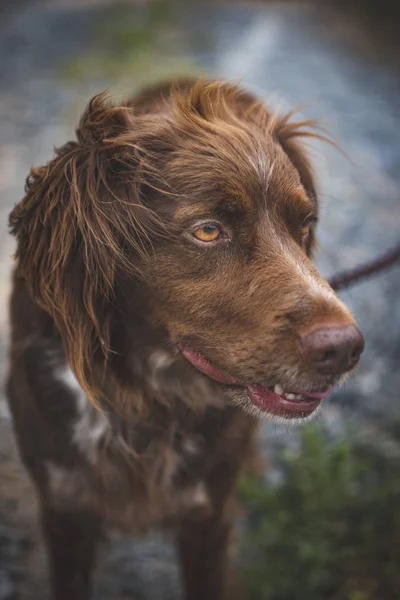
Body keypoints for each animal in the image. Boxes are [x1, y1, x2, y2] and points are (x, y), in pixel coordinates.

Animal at [6, 79, 364, 600]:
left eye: (304, 223)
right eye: (208, 231)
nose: (345, 349)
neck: (145, 402)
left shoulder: (208, 516)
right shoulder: (64, 510)